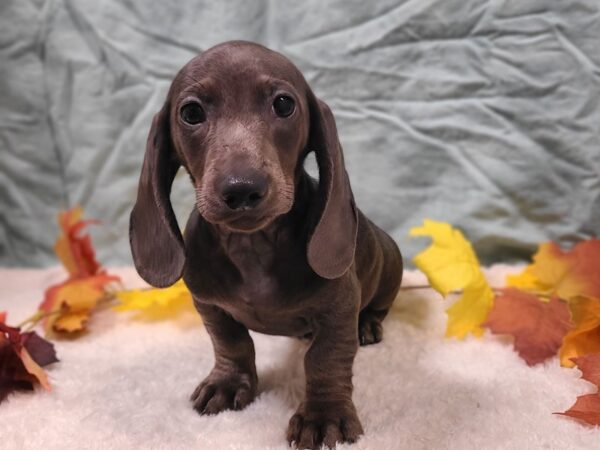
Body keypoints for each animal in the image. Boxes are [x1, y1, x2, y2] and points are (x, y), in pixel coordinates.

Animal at [131, 40, 404, 448]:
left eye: (284, 104)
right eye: (191, 112)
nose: (241, 188)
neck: (253, 246)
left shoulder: (340, 308)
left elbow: (326, 358)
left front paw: (324, 415)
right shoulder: (209, 305)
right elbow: (231, 343)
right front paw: (228, 383)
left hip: (391, 269)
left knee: (378, 308)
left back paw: (368, 324)